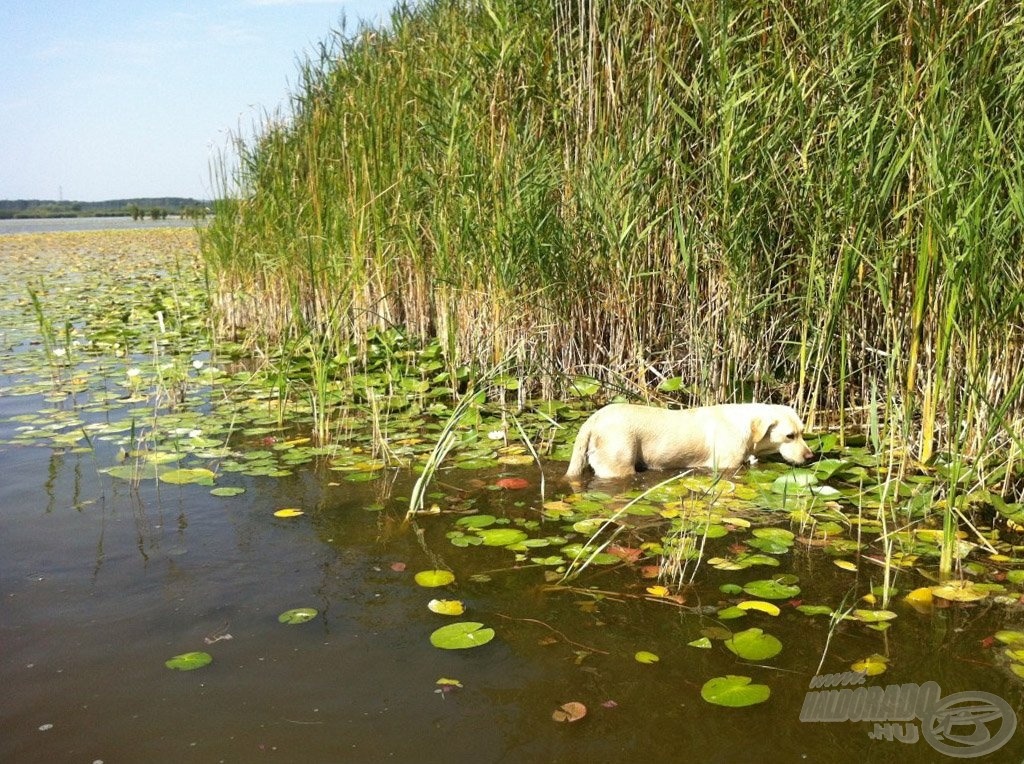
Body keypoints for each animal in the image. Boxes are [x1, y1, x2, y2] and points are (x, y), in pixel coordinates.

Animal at [565, 401, 811, 479]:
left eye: (803, 431)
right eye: (790, 436)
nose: (811, 456)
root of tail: (594, 418)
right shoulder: (726, 466)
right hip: (618, 465)